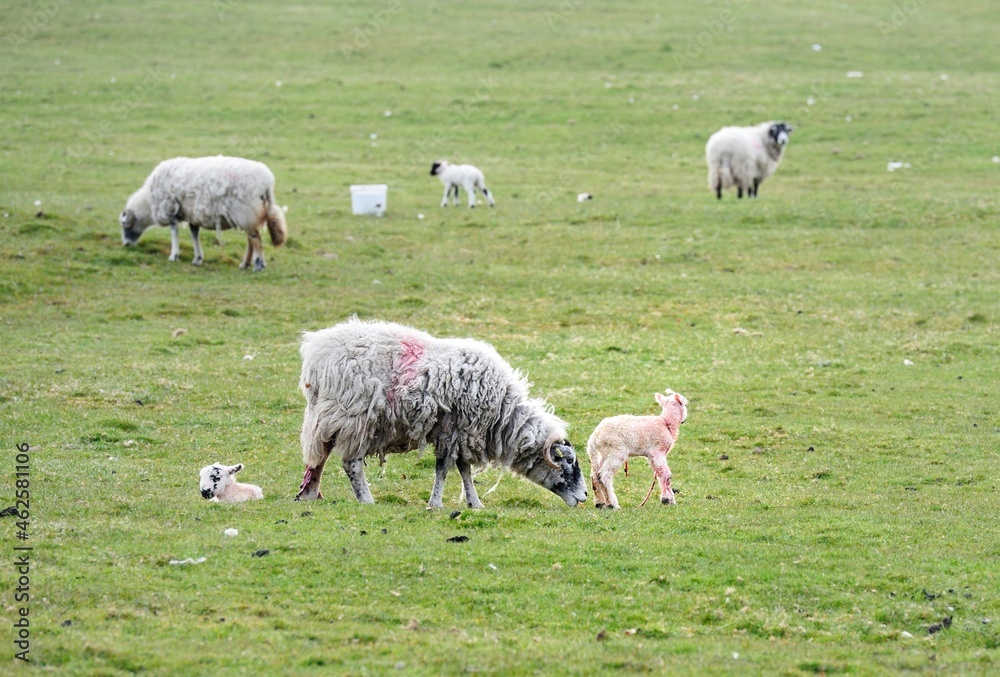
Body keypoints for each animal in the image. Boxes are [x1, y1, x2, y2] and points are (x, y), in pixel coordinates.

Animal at [120, 155, 287, 271]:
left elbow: (174, 232)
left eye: (125, 225)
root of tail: (267, 182)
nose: (126, 244)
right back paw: (244, 264)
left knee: (255, 239)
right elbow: (194, 234)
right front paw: (197, 258)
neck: (148, 202)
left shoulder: (170, 209)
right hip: (247, 214)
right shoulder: (192, 215)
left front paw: (174, 255)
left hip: (245, 211)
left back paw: (258, 265)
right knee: (251, 240)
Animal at [295, 318, 587, 509]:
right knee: (351, 463)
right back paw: (366, 500)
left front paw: (474, 503)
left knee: (318, 456)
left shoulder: (464, 434)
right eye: (568, 463)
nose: (584, 496)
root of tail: (316, 353)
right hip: (356, 417)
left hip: (327, 416)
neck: (503, 415)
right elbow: (443, 468)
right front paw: (436, 504)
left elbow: (464, 469)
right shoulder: (454, 429)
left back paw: (309, 494)